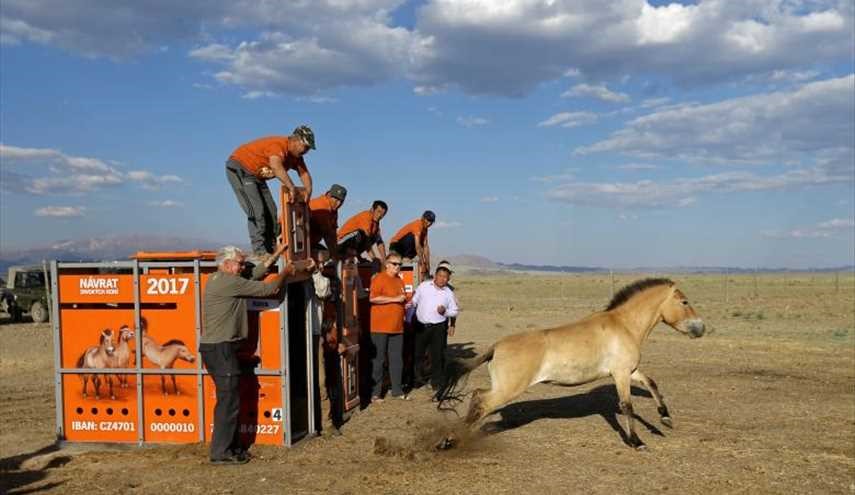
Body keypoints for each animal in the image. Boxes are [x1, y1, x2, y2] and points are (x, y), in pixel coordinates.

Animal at [438, 278, 704, 452]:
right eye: (684, 302)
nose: (700, 328)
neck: (624, 325)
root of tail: (496, 346)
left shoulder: (629, 371)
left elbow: (652, 383)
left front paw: (665, 420)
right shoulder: (620, 375)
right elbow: (627, 406)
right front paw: (637, 443)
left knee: (476, 397)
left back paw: (450, 439)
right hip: (508, 390)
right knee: (482, 402)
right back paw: (450, 440)